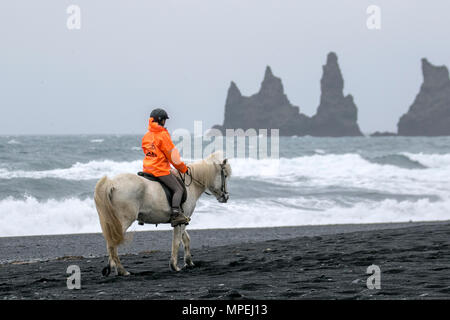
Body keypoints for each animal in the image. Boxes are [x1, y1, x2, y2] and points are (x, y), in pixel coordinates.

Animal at [93, 152, 230, 276]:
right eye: (225, 175)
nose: (226, 197)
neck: (191, 184)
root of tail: (111, 183)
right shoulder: (181, 221)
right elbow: (177, 242)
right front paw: (175, 266)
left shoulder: (182, 220)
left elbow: (185, 239)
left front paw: (189, 263)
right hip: (123, 221)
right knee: (112, 243)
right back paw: (122, 271)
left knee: (111, 242)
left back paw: (114, 268)